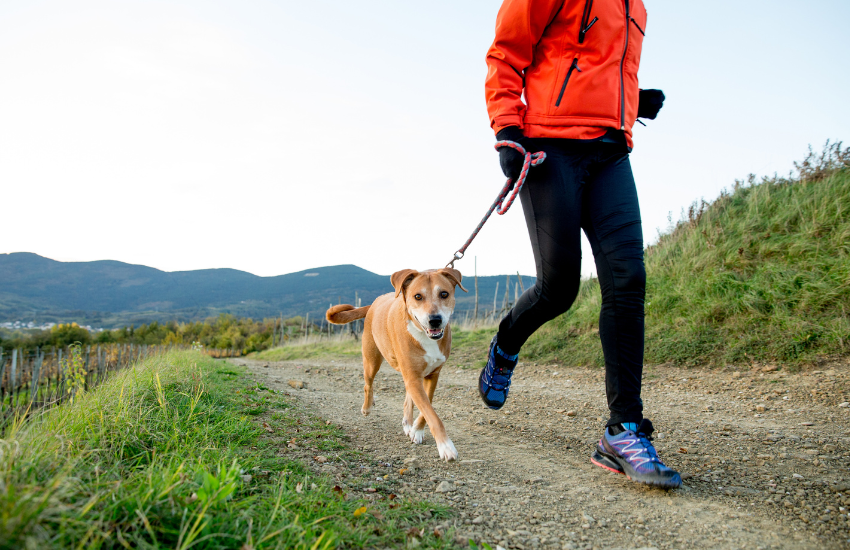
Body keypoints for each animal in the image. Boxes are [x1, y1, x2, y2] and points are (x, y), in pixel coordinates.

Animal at [328, 270, 468, 464]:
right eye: (418, 296)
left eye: (444, 294)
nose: (435, 320)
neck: (422, 335)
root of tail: (375, 302)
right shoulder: (413, 377)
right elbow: (432, 415)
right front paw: (446, 446)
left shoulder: (432, 375)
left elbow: (426, 408)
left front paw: (417, 430)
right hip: (372, 360)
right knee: (368, 384)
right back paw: (367, 407)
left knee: (408, 398)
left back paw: (408, 424)